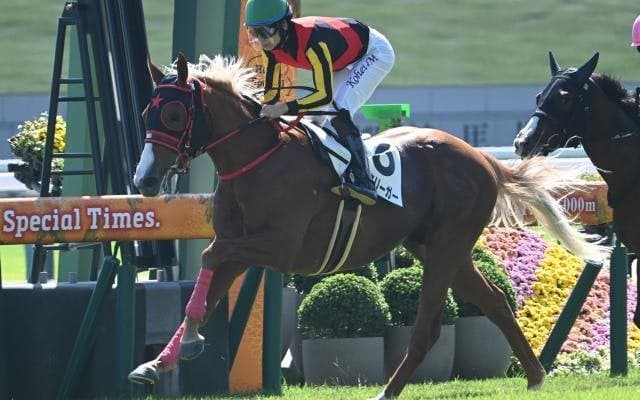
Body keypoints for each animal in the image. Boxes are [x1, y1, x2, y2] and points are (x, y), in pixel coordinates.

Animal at [128, 52, 606, 399]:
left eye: (174, 115)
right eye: (147, 112)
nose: (145, 180)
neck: (257, 158)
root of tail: (483, 158)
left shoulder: (280, 246)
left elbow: (210, 257)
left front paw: (185, 346)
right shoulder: (240, 243)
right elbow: (207, 288)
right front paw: (157, 362)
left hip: (447, 246)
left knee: (427, 328)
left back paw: (388, 391)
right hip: (434, 247)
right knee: (495, 302)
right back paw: (535, 376)